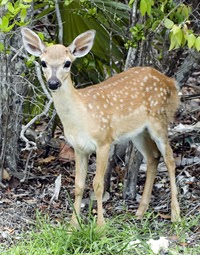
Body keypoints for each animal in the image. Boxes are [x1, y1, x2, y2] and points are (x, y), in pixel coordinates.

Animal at [21, 27, 181, 226]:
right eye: (43, 62)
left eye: (67, 63)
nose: (53, 83)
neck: (81, 116)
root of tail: (169, 82)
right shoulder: (78, 147)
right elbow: (78, 185)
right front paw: (73, 225)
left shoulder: (104, 140)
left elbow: (98, 184)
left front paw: (100, 226)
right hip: (138, 132)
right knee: (153, 157)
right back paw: (140, 211)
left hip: (159, 120)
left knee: (170, 159)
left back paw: (176, 215)